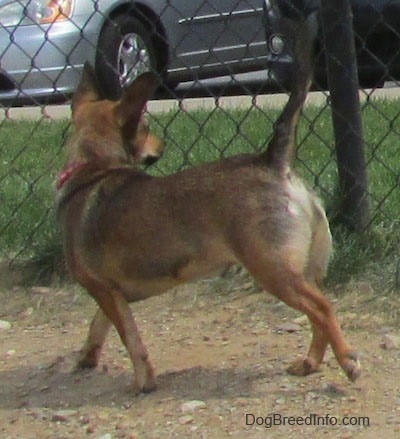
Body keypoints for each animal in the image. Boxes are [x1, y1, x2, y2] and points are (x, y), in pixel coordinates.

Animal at [57, 14, 360, 396]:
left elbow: (130, 338)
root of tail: (271, 161)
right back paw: (311, 362)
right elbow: (99, 325)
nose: (163, 145)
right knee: (317, 313)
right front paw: (87, 357)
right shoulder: (111, 294)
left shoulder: (103, 290)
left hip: (274, 271)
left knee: (322, 308)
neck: (93, 169)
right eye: (146, 126)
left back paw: (347, 361)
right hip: (304, 268)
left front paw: (142, 382)